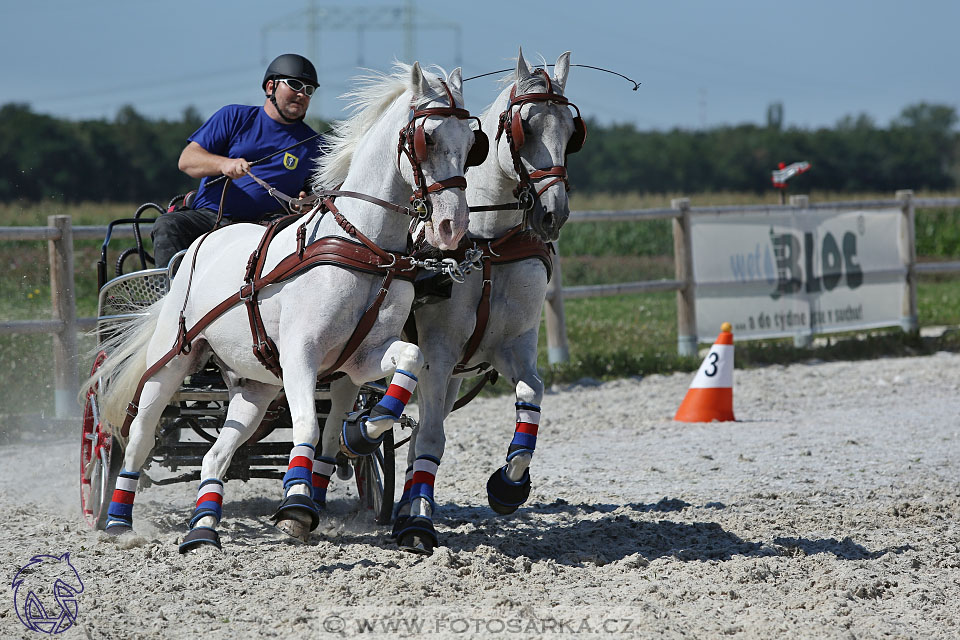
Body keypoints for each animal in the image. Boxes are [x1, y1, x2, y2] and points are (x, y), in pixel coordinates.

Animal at [86, 66, 484, 556]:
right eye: (426, 138)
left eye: (472, 143)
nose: (452, 227)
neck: (363, 245)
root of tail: (204, 242)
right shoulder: (300, 356)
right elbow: (308, 429)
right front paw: (296, 507)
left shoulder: (360, 358)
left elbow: (402, 369)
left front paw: (359, 434)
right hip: (173, 360)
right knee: (139, 434)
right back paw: (118, 521)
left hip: (254, 385)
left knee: (216, 453)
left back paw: (203, 531)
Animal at [390, 48, 584, 556]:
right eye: (524, 129)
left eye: (570, 132)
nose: (553, 214)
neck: (486, 245)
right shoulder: (436, 354)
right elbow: (430, 438)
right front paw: (419, 524)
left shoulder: (513, 346)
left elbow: (531, 395)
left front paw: (508, 486)